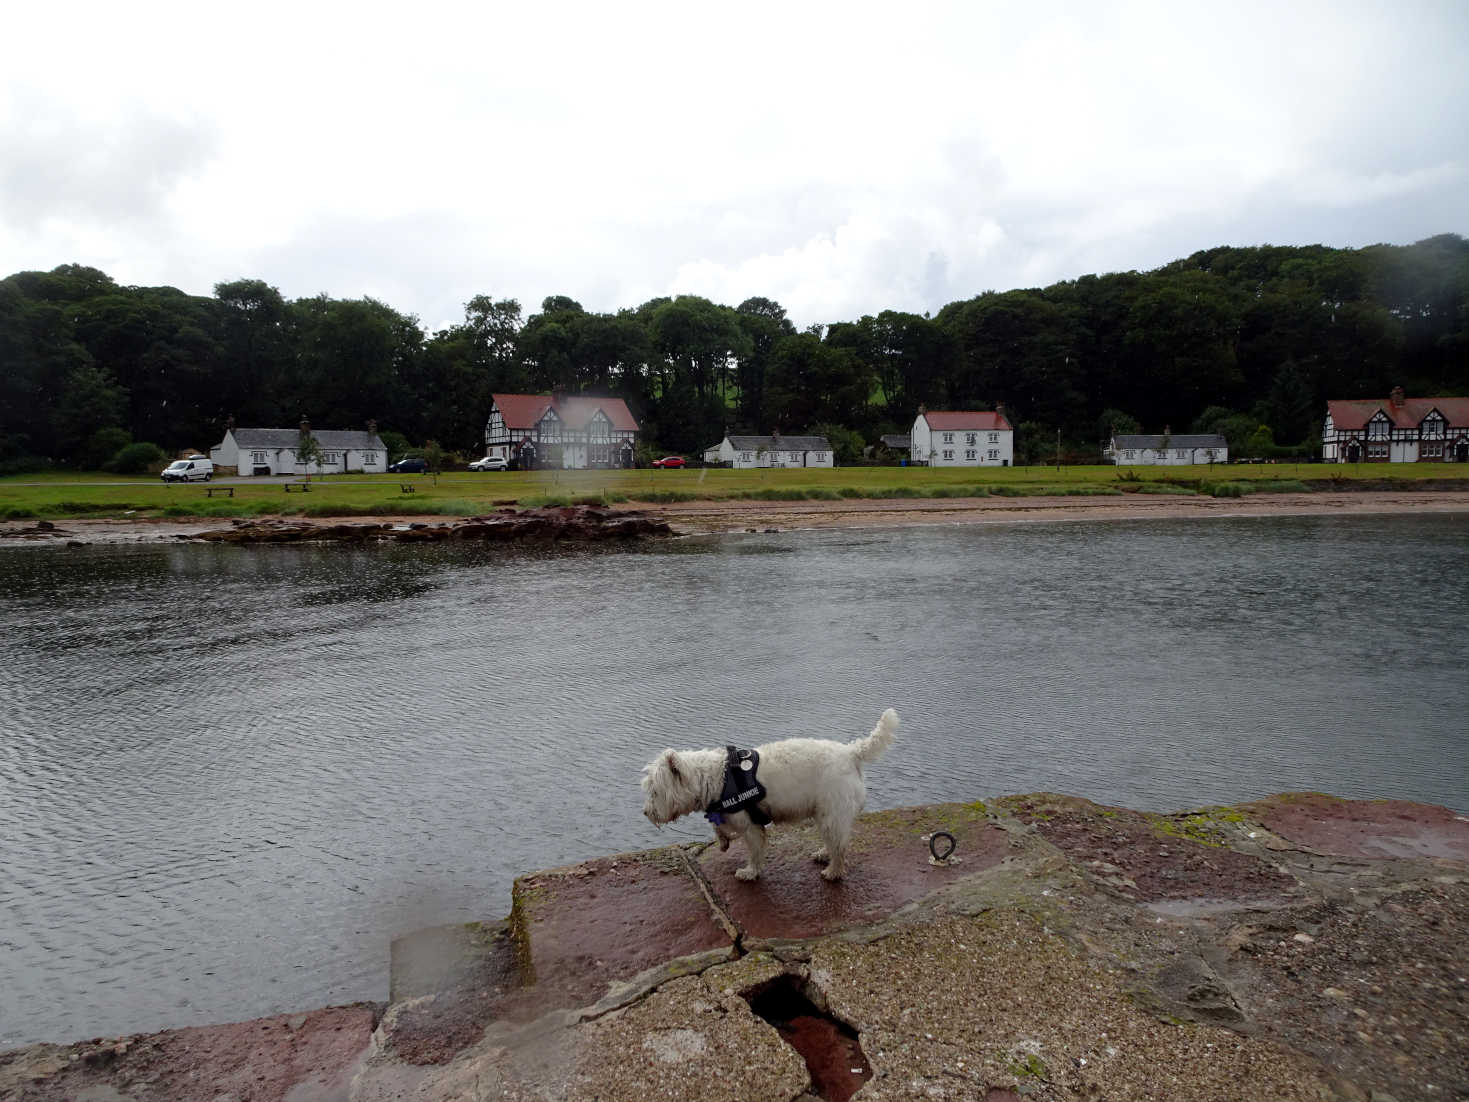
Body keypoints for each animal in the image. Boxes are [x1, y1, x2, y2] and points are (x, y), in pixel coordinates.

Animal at [640, 711, 899, 887]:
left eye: (655, 792)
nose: (645, 812)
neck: (716, 779)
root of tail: (851, 752)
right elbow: (719, 827)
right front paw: (723, 841)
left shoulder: (750, 825)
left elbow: (755, 851)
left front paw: (749, 872)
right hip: (826, 812)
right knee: (834, 840)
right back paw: (824, 854)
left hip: (832, 810)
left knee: (839, 845)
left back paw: (833, 871)